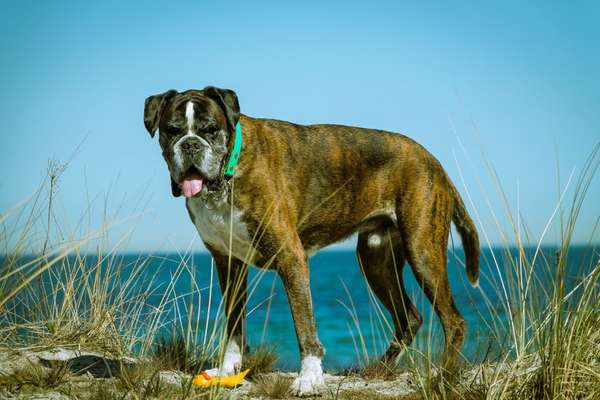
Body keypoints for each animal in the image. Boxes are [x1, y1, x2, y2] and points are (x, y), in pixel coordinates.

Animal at [143, 86, 480, 396]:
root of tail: (434, 162)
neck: (228, 174)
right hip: (375, 259)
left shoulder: (290, 258)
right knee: (409, 317)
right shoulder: (229, 264)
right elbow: (234, 324)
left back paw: (444, 378)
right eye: (172, 131)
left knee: (454, 321)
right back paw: (380, 368)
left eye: (211, 130)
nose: (190, 145)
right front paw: (228, 369)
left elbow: (304, 324)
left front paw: (309, 377)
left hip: (422, 251)